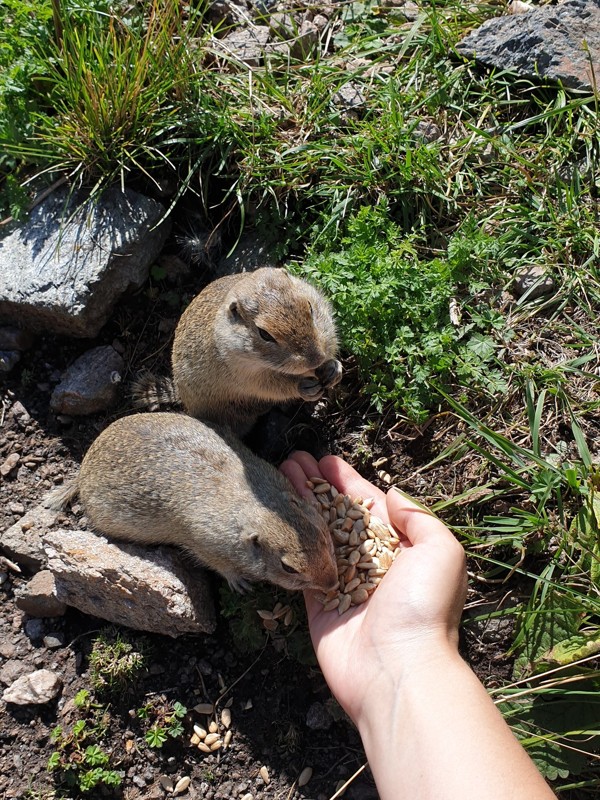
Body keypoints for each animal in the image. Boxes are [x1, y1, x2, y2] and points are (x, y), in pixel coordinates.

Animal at [48, 412, 338, 592]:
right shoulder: (205, 544)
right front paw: (239, 582)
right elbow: (219, 564)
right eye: (288, 568)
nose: (333, 584)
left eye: (324, 538)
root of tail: (82, 472)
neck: (258, 511)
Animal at [135, 268, 342, 432]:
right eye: (264, 334)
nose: (316, 359)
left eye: (310, 307)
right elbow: (271, 386)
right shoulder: (244, 373)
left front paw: (333, 368)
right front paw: (303, 386)